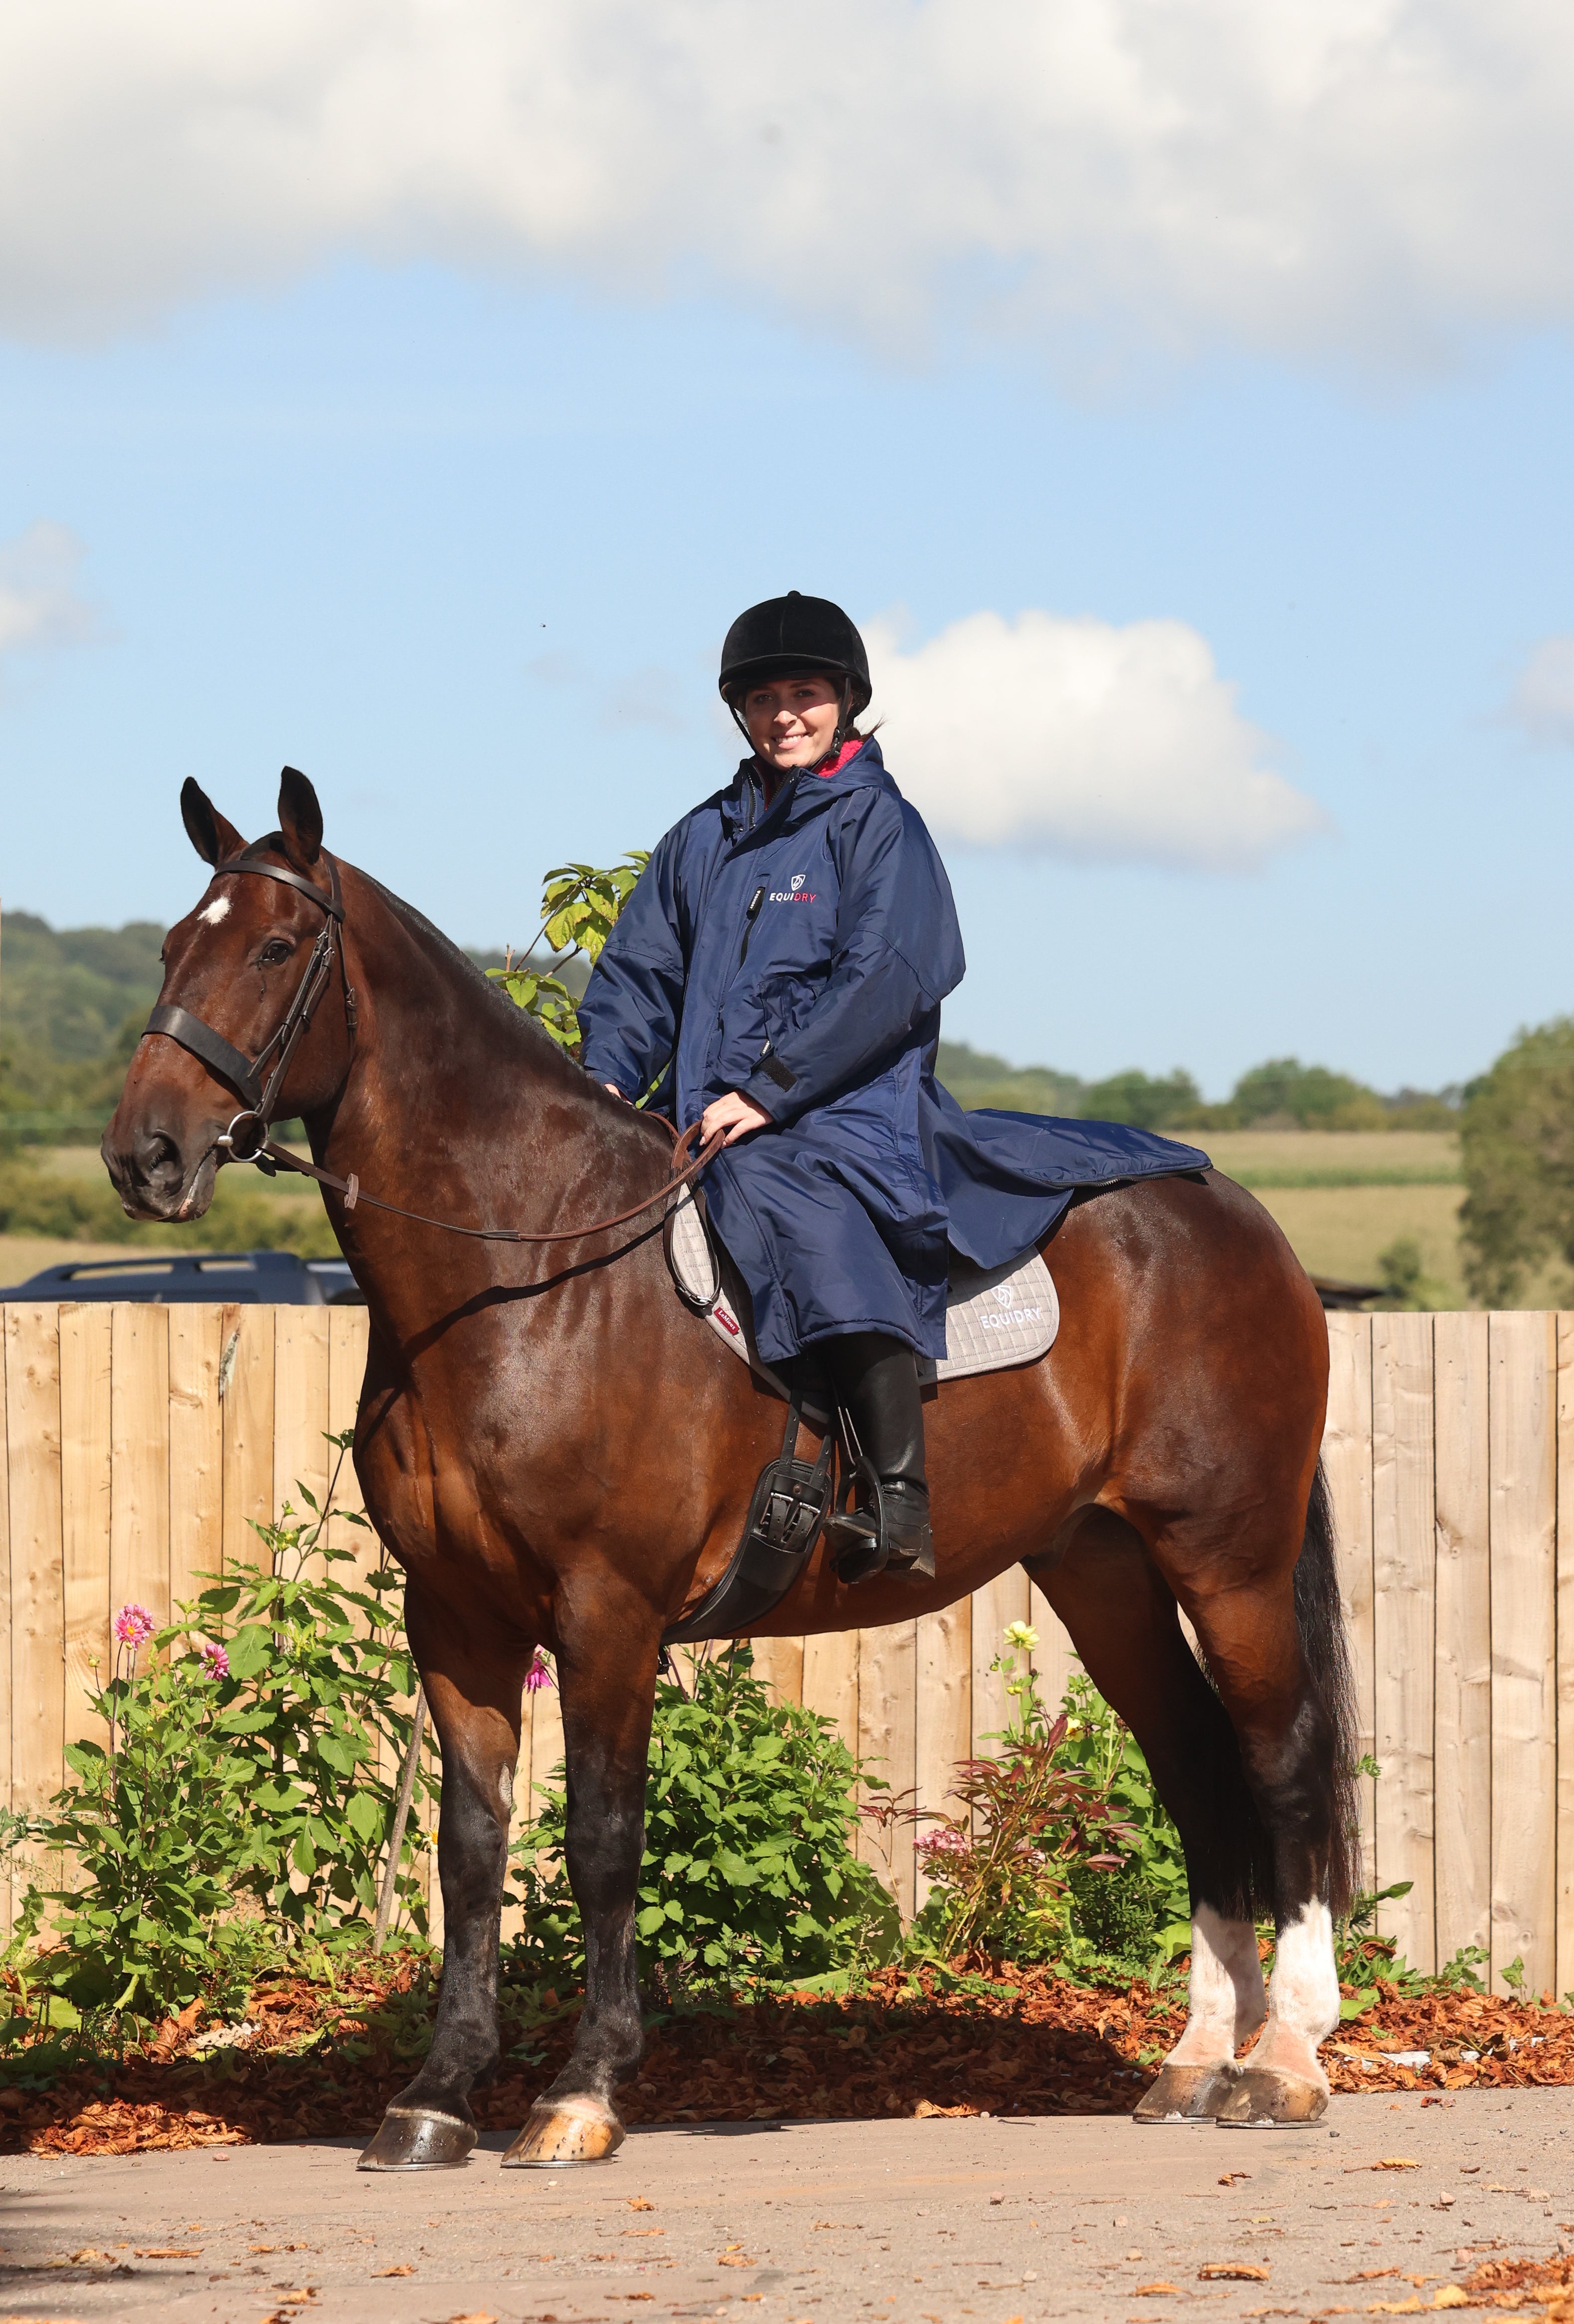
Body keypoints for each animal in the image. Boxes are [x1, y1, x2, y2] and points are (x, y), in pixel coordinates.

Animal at [102, 766, 1356, 2168]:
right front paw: (436, 2093)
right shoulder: (457, 1614)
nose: (145, 1154)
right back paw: (1197, 2056)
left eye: (273, 948)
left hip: (1227, 1559)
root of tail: (1232, 1216)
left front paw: (583, 2089)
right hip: (1104, 1572)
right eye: (172, 946)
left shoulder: (605, 1609)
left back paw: (1286, 2057)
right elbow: (471, 1847)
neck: (530, 1267)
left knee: (1282, 1760)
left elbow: (601, 1836)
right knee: (1193, 1765)